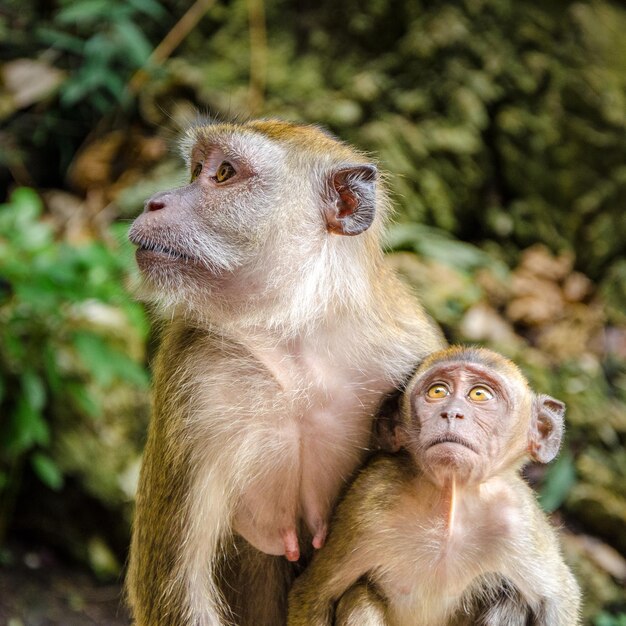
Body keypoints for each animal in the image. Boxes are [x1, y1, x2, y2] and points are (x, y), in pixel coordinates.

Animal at [124, 118, 442, 624]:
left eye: (224, 173)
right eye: (196, 168)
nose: (153, 201)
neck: (294, 338)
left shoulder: (411, 355)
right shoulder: (192, 376)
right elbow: (175, 584)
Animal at [288, 344, 580, 620]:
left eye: (479, 394)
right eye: (438, 391)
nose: (451, 413)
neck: (450, 501)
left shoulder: (517, 517)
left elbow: (557, 600)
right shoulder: (369, 498)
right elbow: (314, 593)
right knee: (360, 597)